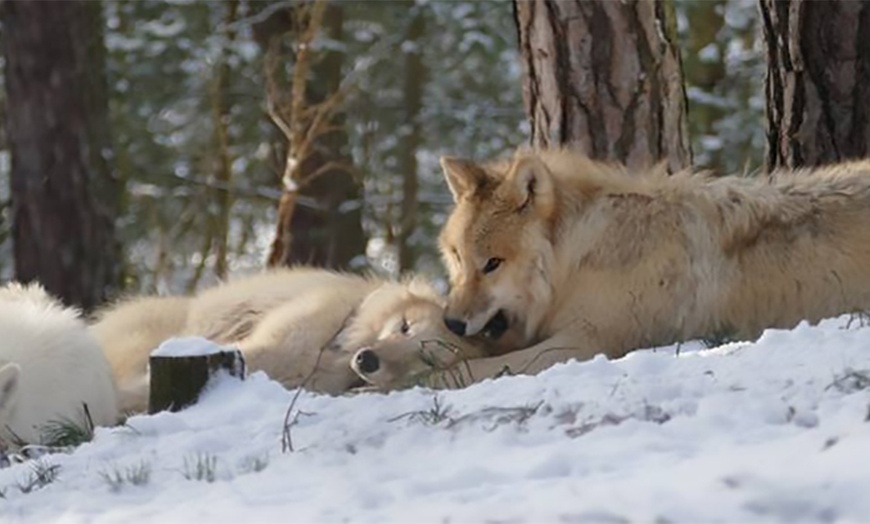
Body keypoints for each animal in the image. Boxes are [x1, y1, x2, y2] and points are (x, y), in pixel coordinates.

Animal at [352, 147, 870, 388]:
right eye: (458, 259)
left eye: (493, 264)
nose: (454, 321)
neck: (577, 257)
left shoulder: (586, 343)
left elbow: (471, 370)